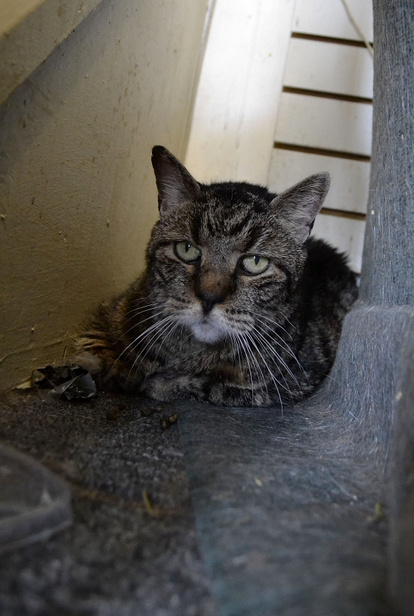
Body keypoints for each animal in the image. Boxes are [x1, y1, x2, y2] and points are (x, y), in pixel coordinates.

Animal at [77, 146, 356, 406]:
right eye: (187, 249)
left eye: (255, 262)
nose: (209, 297)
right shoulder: (110, 314)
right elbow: (92, 348)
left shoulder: (288, 382)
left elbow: (205, 386)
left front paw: (156, 381)